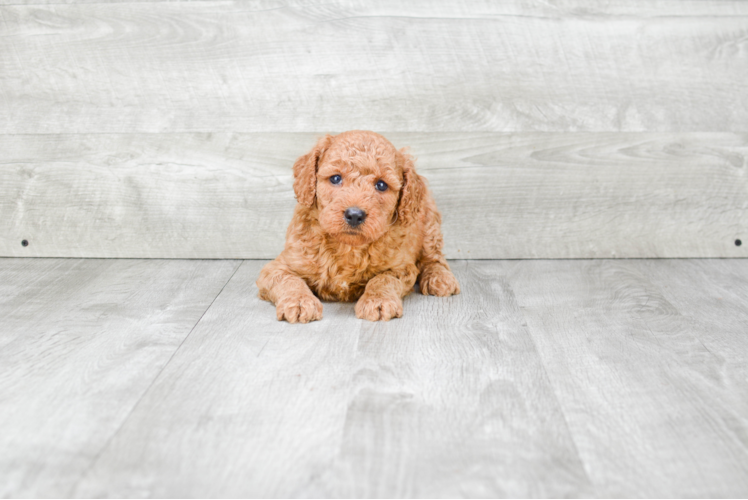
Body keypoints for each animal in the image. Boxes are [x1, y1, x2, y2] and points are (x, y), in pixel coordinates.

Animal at [258, 131, 458, 322]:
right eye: (335, 178)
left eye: (381, 185)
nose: (354, 215)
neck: (347, 247)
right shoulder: (279, 265)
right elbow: (288, 279)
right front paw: (299, 302)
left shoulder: (402, 268)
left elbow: (383, 279)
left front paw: (378, 300)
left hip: (430, 223)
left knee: (434, 258)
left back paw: (439, 278)